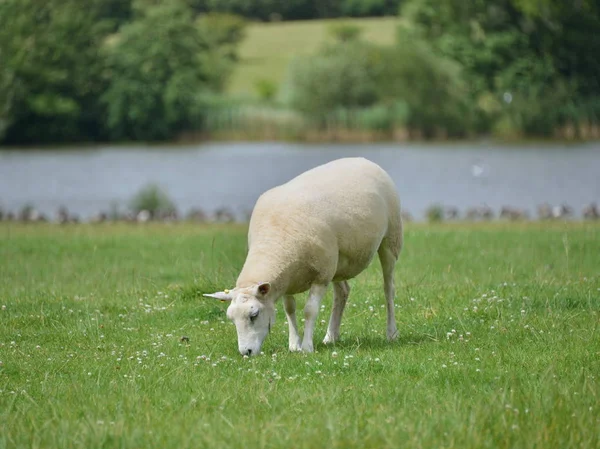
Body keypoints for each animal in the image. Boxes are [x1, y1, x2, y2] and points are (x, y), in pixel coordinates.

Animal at [204, 156, 406, 356]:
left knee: (388, 288)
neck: (272, 242)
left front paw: (307, 347)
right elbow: (289, 309)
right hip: (337, 261)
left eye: (254, 315)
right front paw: (294, 344)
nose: (246, 352)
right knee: (342, 292)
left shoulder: (321, 275)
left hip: (390, 239)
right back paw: (331, 336)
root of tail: (362, 159)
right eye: (231, 318)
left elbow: (310, 310)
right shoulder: (286, 279)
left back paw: (392, 332)